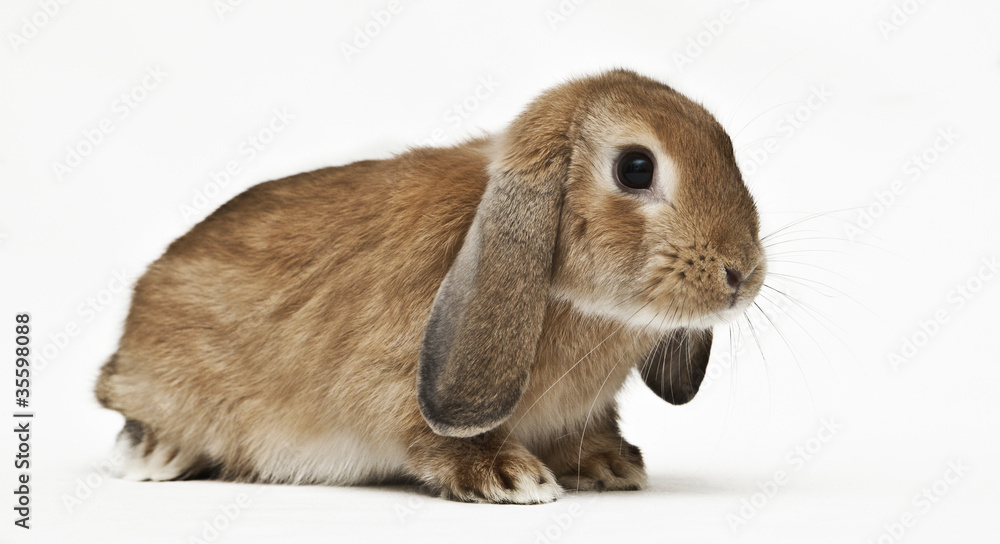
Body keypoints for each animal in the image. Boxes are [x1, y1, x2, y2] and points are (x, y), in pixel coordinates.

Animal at [95, 69, 765, 504]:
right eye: (635, 168)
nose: (743, 274)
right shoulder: (397, 386)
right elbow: (428, 437)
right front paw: (512, 478)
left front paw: (612, 466)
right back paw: (155, 459)